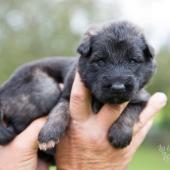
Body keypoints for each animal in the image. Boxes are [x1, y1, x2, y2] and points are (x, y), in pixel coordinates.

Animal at [0, 20, 155, 153]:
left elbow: (130, 111)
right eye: (101, 61)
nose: (118, 87)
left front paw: (120, 134)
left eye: (132, 61)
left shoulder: (141, 97)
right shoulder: (67, 94)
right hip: (47, 89)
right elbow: (60, 110)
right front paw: (48, 134)